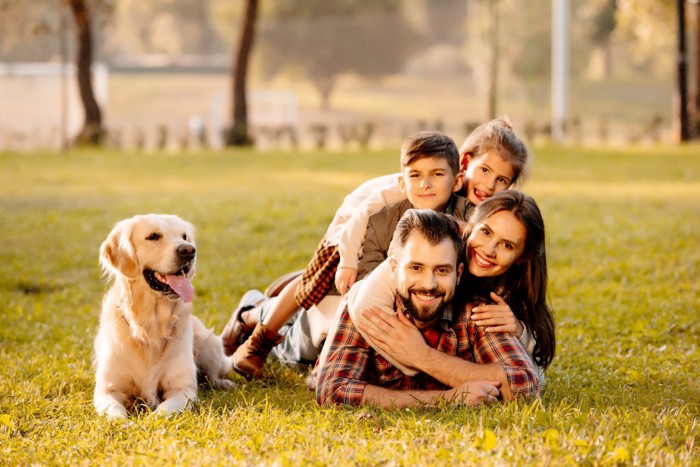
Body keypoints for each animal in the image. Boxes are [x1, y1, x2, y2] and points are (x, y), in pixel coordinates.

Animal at [93, 214, 237, 418]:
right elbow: (115, 412)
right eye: (153, 236)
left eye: (184, 236)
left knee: (214, 375)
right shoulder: (107, 389)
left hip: (210, 345)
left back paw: (225, 383)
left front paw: (149, 422)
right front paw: (125, 423)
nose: (188, 250)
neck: (151, 326)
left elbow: (162, 411)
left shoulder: (183, 389)